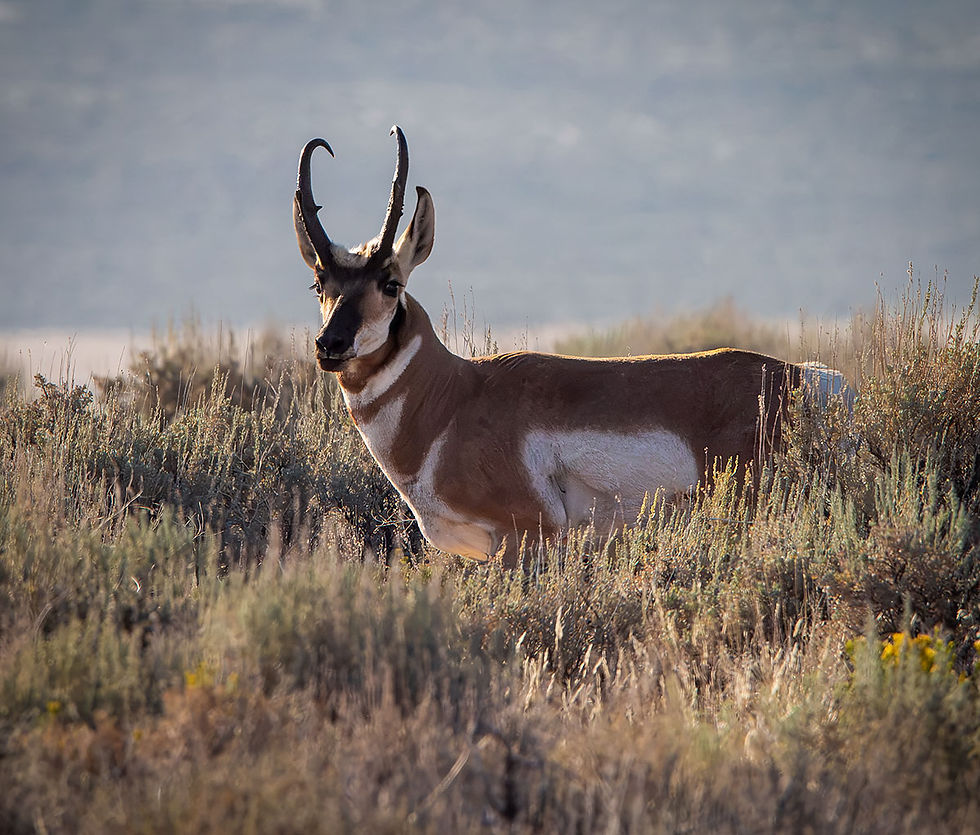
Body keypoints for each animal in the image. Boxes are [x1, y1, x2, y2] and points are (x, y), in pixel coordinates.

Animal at [293, 127, 853, 567]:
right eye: (319, 284)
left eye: (390, 283)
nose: (330, 345)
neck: (454, 398)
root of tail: (812, 379)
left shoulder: (523, 537)